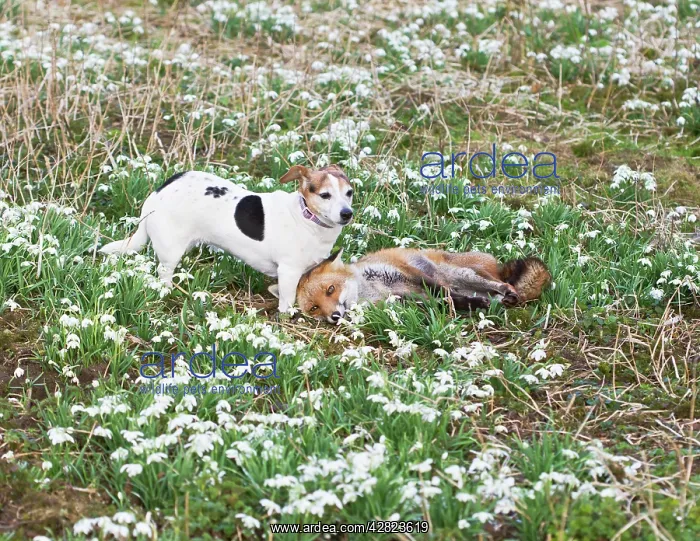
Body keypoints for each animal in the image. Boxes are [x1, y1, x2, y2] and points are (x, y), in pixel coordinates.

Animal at [285, 248, 551, 323]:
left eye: (330, 289)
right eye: (314, 308)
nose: (335, 316)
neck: (370, 287)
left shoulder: (409, 275)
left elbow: (443, 291)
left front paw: (470, 303)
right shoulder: (402, 298)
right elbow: (444, 300)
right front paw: (471, 304)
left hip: (461, 274)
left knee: (500, 283)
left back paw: (507, 291)